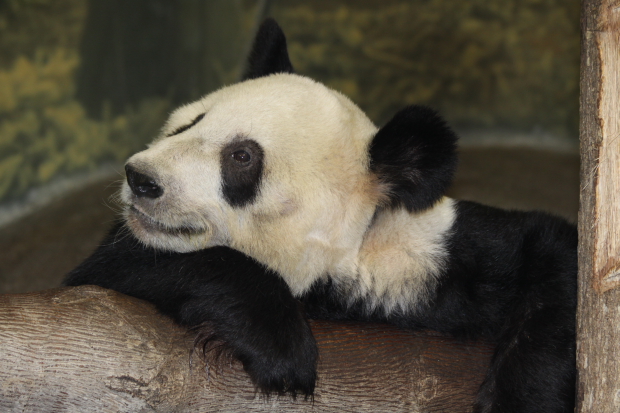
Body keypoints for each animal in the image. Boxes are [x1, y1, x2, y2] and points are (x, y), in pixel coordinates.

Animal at [64, 17, 576, 410]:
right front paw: (282, 350)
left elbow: (554, 253)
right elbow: (120, 269)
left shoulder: (427, 257)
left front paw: (518, 398)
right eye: (190, 122)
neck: (341, 261)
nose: (141, 179)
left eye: (241, 157)